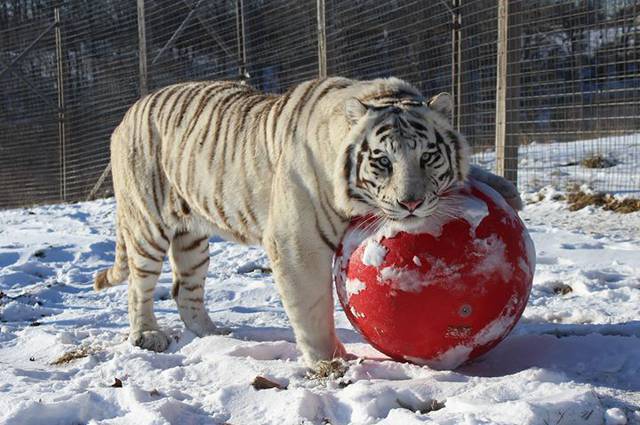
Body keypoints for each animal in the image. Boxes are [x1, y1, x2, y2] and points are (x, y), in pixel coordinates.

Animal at [96, 76, 524, 368]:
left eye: (428, 157)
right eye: (383, 161)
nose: (412, 203)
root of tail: (126, 115)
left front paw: (507, 190)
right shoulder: (296, 244)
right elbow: (313, 308)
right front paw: (329, 362)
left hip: (191, 241)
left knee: (185, 292)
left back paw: (214, 338)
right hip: (147, 225)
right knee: (139, 286)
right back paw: (148, 335)